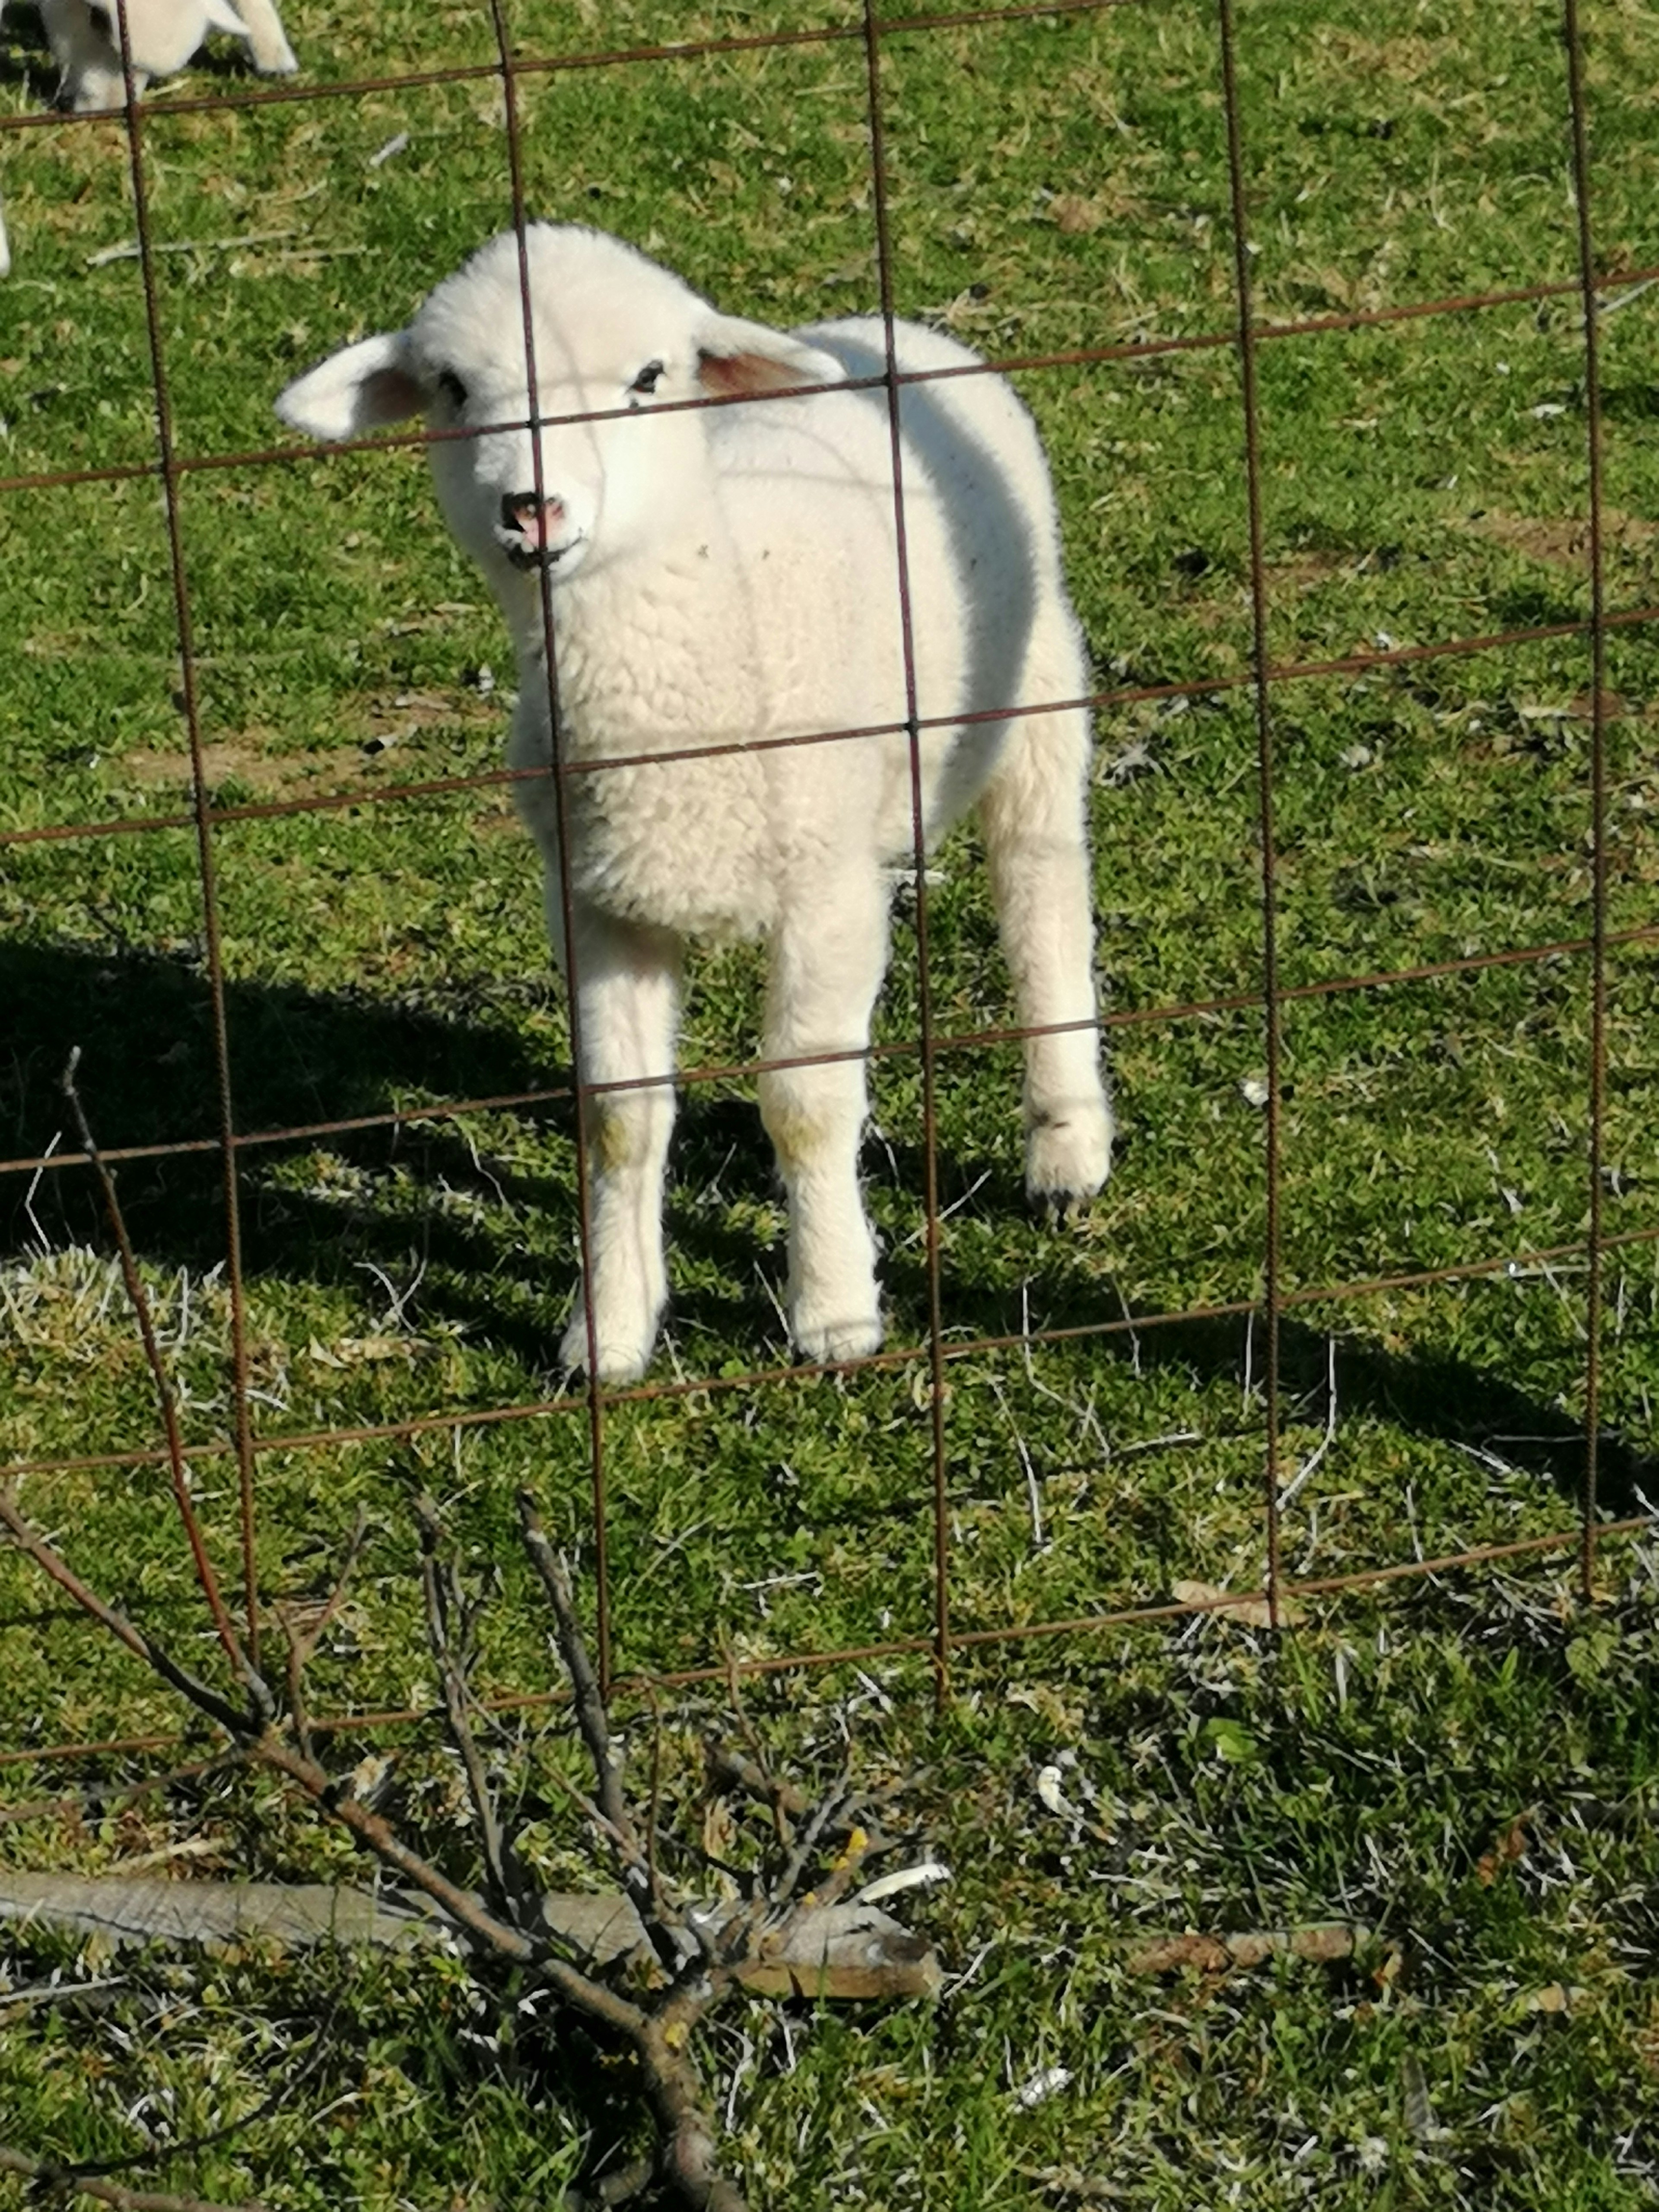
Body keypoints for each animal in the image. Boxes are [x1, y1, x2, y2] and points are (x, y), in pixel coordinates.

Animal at [275, 223, 1114, 1384]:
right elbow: (620, 1118)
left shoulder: (828, 893)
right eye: (453, 387)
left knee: (1042, 898)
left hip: (1036, 695)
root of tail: (887, 325)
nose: (531, 507)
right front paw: (609, 1331)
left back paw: (1066, 1144)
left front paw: (833, 1312)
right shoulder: (596, 903)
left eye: (647, 379)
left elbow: (804, 1103)